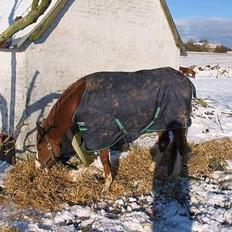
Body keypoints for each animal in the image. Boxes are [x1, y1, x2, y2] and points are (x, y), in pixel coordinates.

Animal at [35, 67, 194, 190]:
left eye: (40, 147)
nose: (38, 167)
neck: (79, 101)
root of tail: (185, 81)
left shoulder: (102, 134)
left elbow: (105, 159)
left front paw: (106, 185)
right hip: (161, 122)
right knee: (164, 143)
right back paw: (152, 167)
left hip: (178, 123)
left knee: (181, 148)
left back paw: (174, 176)